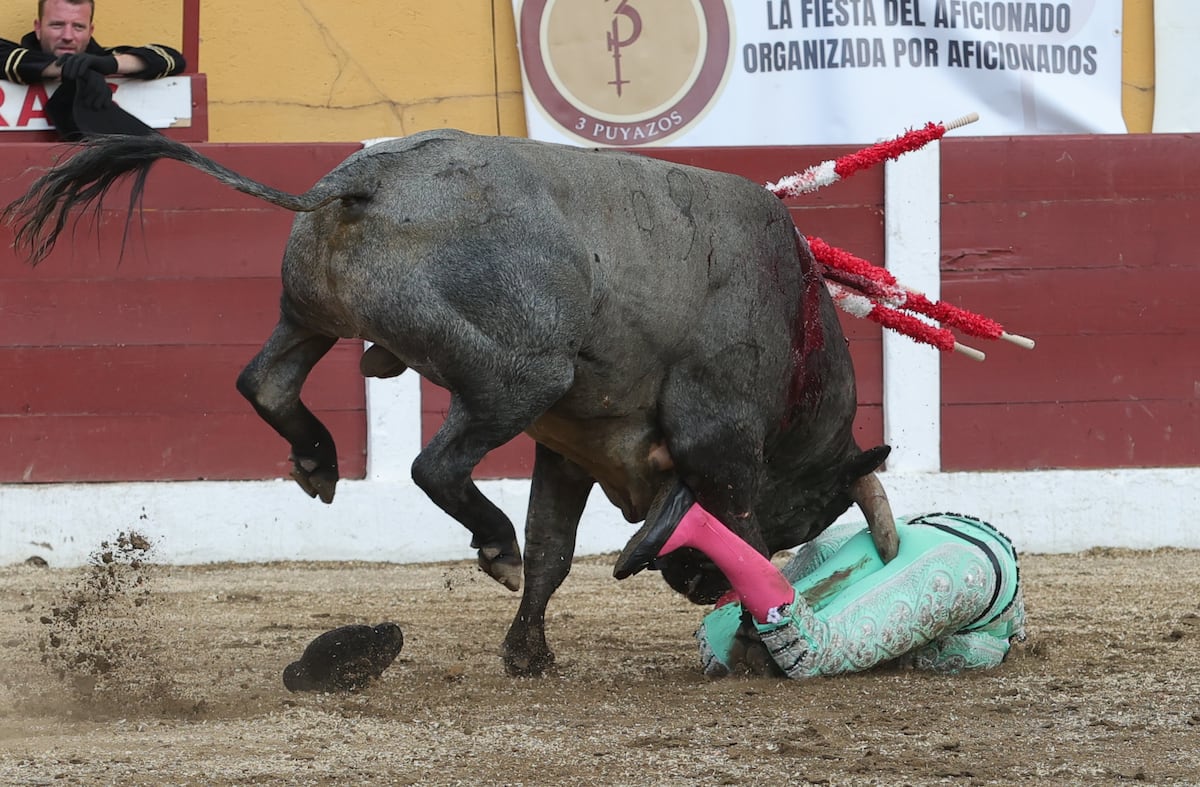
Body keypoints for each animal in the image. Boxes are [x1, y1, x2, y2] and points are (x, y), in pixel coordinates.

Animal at [4, 130, 897, 676]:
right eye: (807, 516)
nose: (693, 584)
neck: (798, 322)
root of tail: (364, 180)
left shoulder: (568, 446)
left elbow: (555, 547)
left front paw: (528, 655)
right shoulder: (723, 443)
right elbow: (742, 533)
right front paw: (755, 648)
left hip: (312, 315)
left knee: (266, 380)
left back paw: (318, 460)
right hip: (519, 380)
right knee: (434, 465)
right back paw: (488, 539)